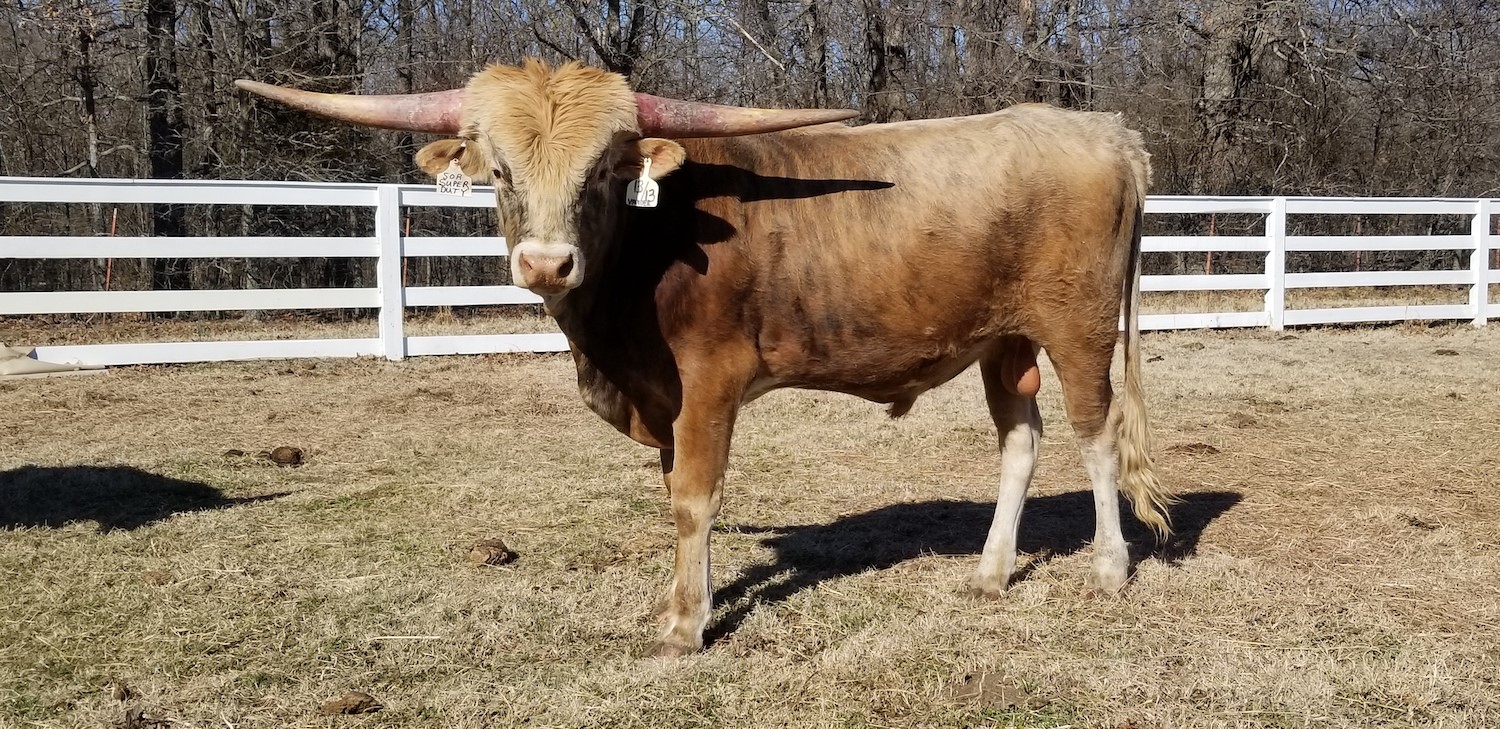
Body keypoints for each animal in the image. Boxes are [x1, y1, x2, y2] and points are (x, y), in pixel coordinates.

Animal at [236, 59, 1174, 657]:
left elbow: (694, 498)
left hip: (1077, 328)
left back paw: (1110, 567)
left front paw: (688, 625)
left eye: (604, 171)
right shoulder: (662, 397)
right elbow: (670, 496)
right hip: (1002, 341)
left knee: (1096, 436)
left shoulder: (710, 381)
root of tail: (1105, 129)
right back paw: (989, 573)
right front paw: (678, 599)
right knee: (1021, 439)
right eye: (498, 170)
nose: (546, 263)